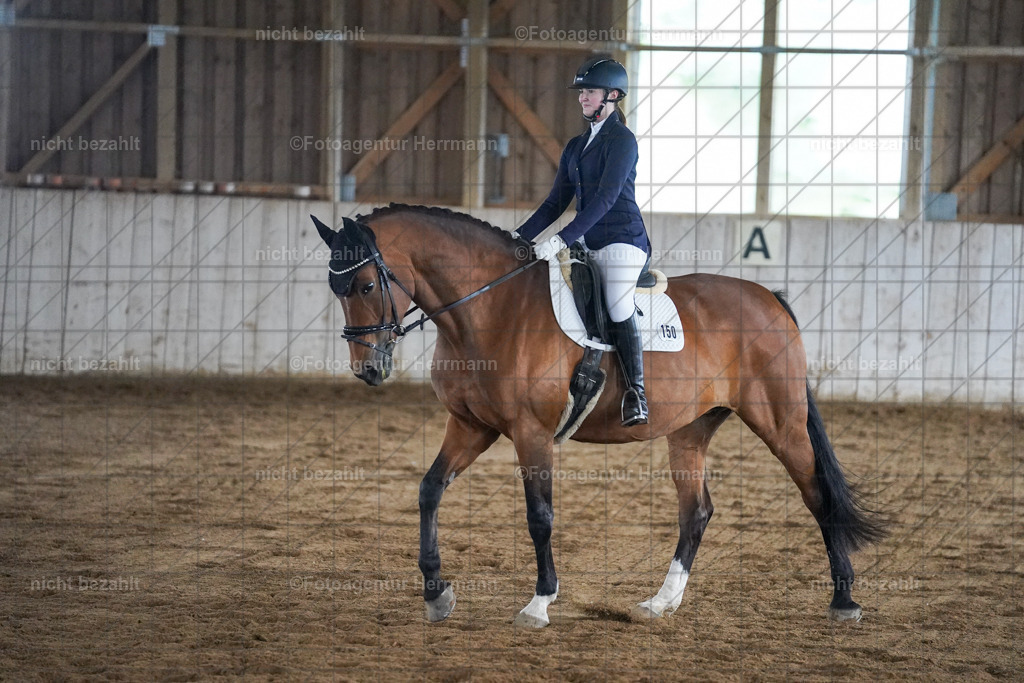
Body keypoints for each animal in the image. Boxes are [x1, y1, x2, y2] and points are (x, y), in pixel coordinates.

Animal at [312, 204, 886, 628]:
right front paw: (436, 593)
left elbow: (539, 517)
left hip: (780, 422)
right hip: (690, 431)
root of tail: (769, 297)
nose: (368, 369)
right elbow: (429, 490)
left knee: (816, 495)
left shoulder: (531, 434)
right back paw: (660, 603)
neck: (489, 308)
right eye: (336, 289)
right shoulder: (472, 427)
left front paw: (539, 603)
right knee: (696, 512)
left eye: (366, 286)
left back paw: (843, 601)